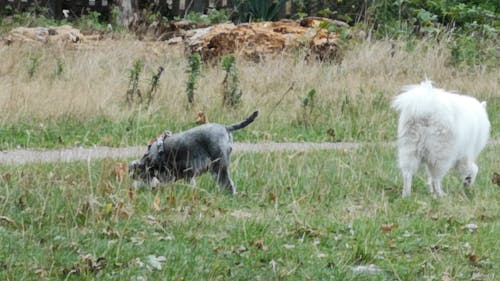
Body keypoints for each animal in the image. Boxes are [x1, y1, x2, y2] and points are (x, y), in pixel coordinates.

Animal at [129, 110, 258, 194]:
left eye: (135, 175)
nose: (133, 188)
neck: (148, 160)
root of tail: (226, 128)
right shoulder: (188, 174)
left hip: (219, 166)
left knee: (228, 184)